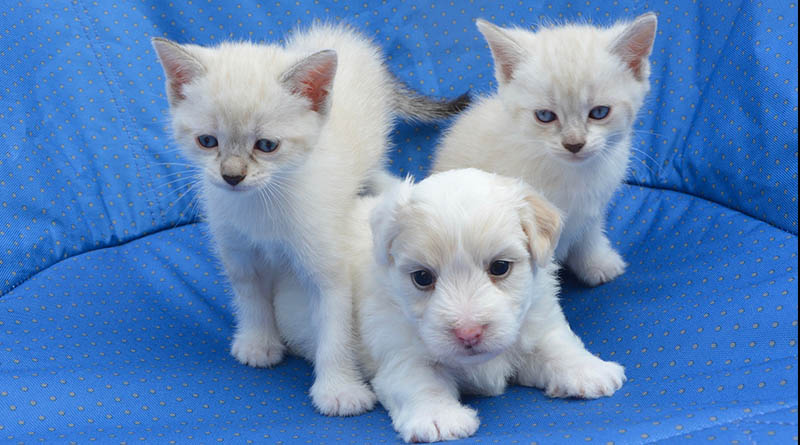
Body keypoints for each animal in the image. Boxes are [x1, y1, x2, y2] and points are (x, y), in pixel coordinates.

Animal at [152, 24, 466, 414]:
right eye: (207, 141)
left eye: (266, 145)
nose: (232, 176)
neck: (262, 204)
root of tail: (343, 36)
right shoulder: (238, 249)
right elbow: (250, 297)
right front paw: (258, 341)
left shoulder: (328, 261)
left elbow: (334, 328)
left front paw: (338, 389)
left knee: (373, 171)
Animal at [276, 168, 624, 442]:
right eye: (422, 277)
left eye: (500, 267)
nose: (469, 333)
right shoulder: (401, 356)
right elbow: (421, 383)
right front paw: (439, 418)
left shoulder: (537, 321)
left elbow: (558, 346)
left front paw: (589, 371)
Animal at [434, 13, 660, 286]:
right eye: (544, 116)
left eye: (599, 112)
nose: (574, 144)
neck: (572, 175)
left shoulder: (593, 206)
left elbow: (589, 234)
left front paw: (596, 263)